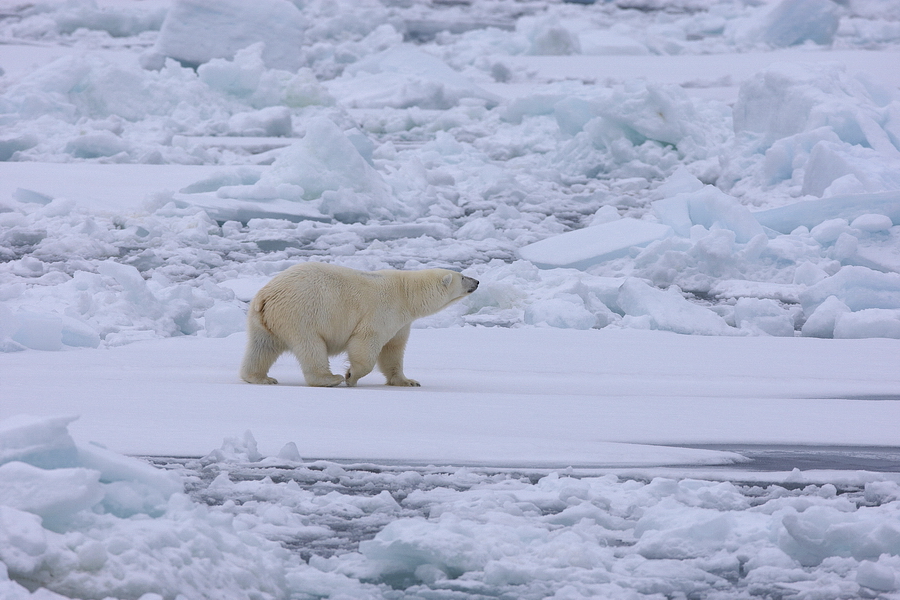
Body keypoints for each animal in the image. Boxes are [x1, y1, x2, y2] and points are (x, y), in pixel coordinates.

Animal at [239, 264, 478, 386]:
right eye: (462, 276)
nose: (477, 281)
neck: (406, 292)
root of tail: (266, 296)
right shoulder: (382, 311)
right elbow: (365, 343)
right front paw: (351, 376)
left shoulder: (401, 322)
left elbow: (393, 350)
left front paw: (407, 381)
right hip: (300, 315)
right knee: (311, 346)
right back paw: (330, 379)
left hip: (263, 319)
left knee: (261, 347)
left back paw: (260, 378)